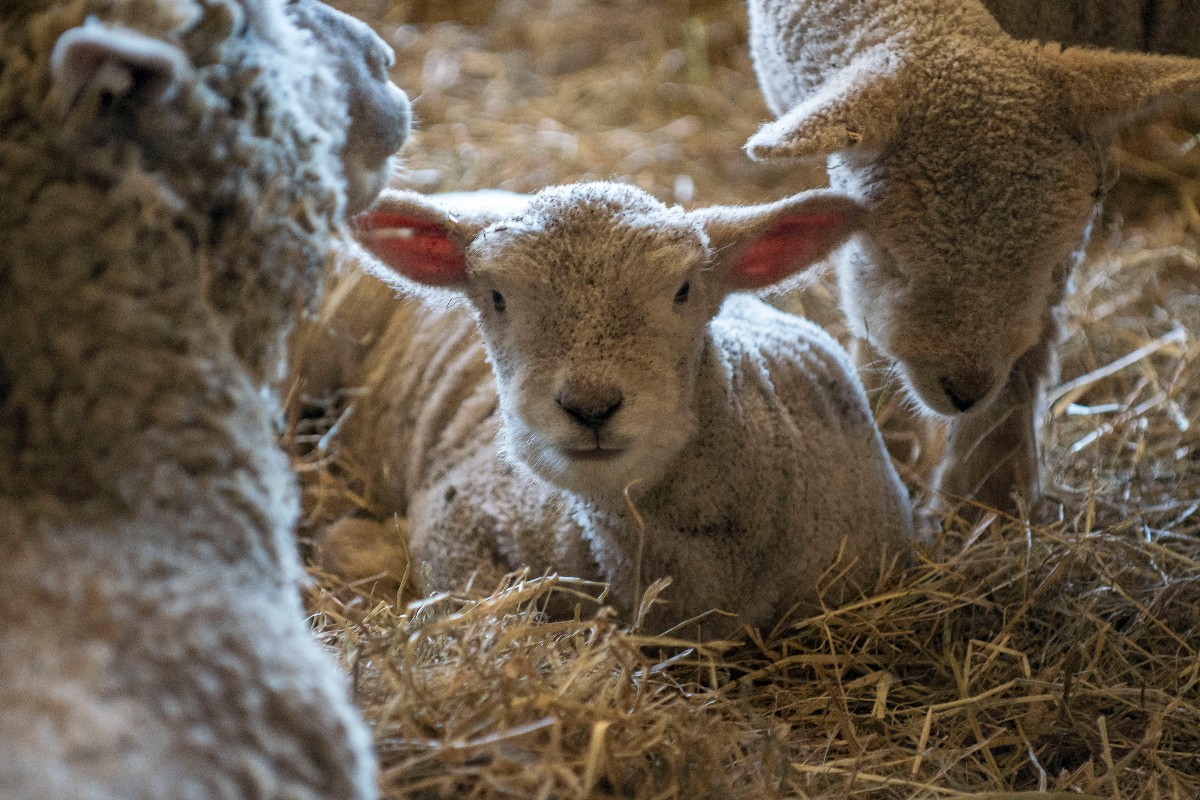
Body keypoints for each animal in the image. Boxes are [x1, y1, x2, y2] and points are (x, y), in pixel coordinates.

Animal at [744, 0, 1200, 513]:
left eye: (1047, 264)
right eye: (890, 257)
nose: (965, 393)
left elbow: (1029, 352)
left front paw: (983, 498)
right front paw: (886, 447)